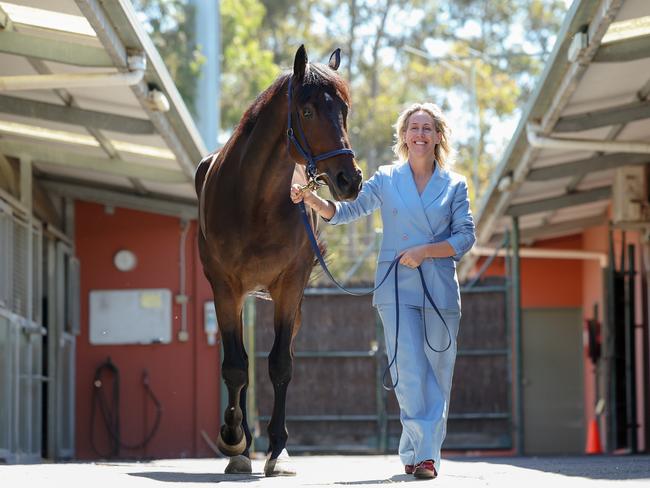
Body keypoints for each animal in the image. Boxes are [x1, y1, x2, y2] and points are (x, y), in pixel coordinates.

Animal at [195, 46, 362, 476]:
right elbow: (236, 366)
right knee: (239, 363)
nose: (350, 180)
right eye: (307, 111)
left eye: (344, 111)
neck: (254, 200)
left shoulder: (289, 287)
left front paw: (277, 451)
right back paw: (239, 441)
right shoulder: (225, 288)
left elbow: (280, 365)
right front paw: (233, 440)